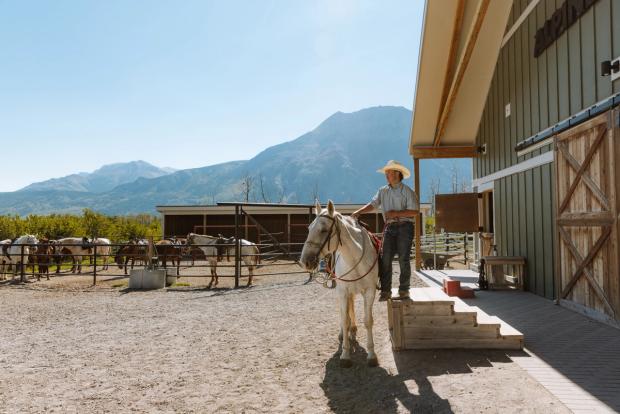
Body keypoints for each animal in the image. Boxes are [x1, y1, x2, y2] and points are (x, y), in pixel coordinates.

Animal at [300, 201, 380, 368]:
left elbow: (368, 321)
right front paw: (345, 355)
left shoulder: (369, 291)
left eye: (324, 230)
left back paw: (353, 330)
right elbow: (344, 319)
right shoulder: (342, 291)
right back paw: (344, 333)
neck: (355, 258)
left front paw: (372, 355)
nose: (305, 261)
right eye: (309, 228)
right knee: (344, 313)